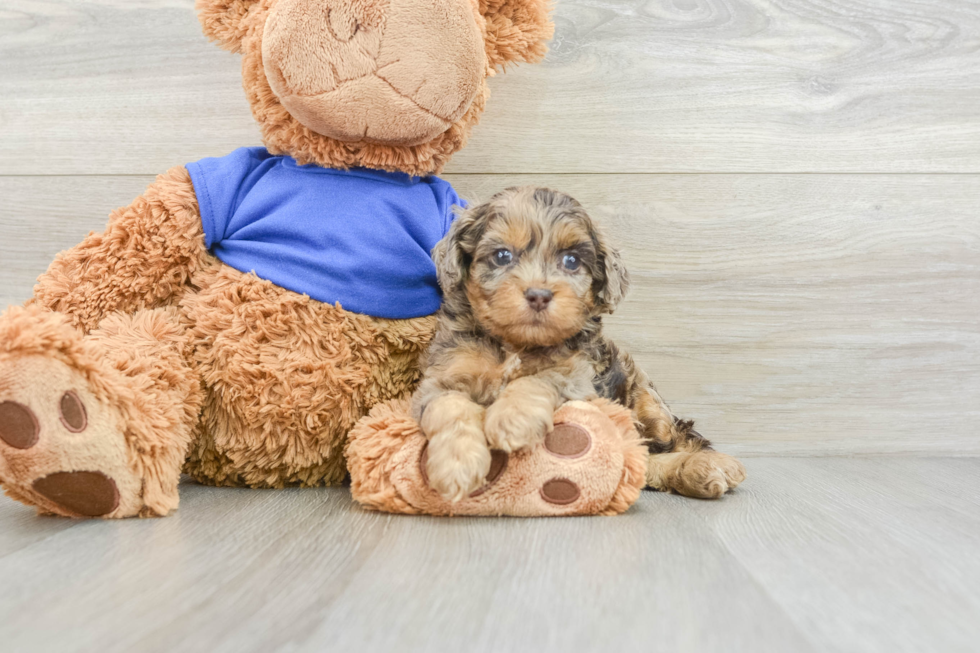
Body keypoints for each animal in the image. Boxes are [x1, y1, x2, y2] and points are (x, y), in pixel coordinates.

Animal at [412, 186, 744, 502]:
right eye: (502, 256)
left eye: (571, 261)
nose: (538, 295)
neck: (516, 344)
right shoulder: (443, 375)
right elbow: (450, 406)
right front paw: (457, 465)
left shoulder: (577, 376)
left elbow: (541, 377)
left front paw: (512, 418)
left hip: (648, 402)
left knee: (665, 445)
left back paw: (705, 466)